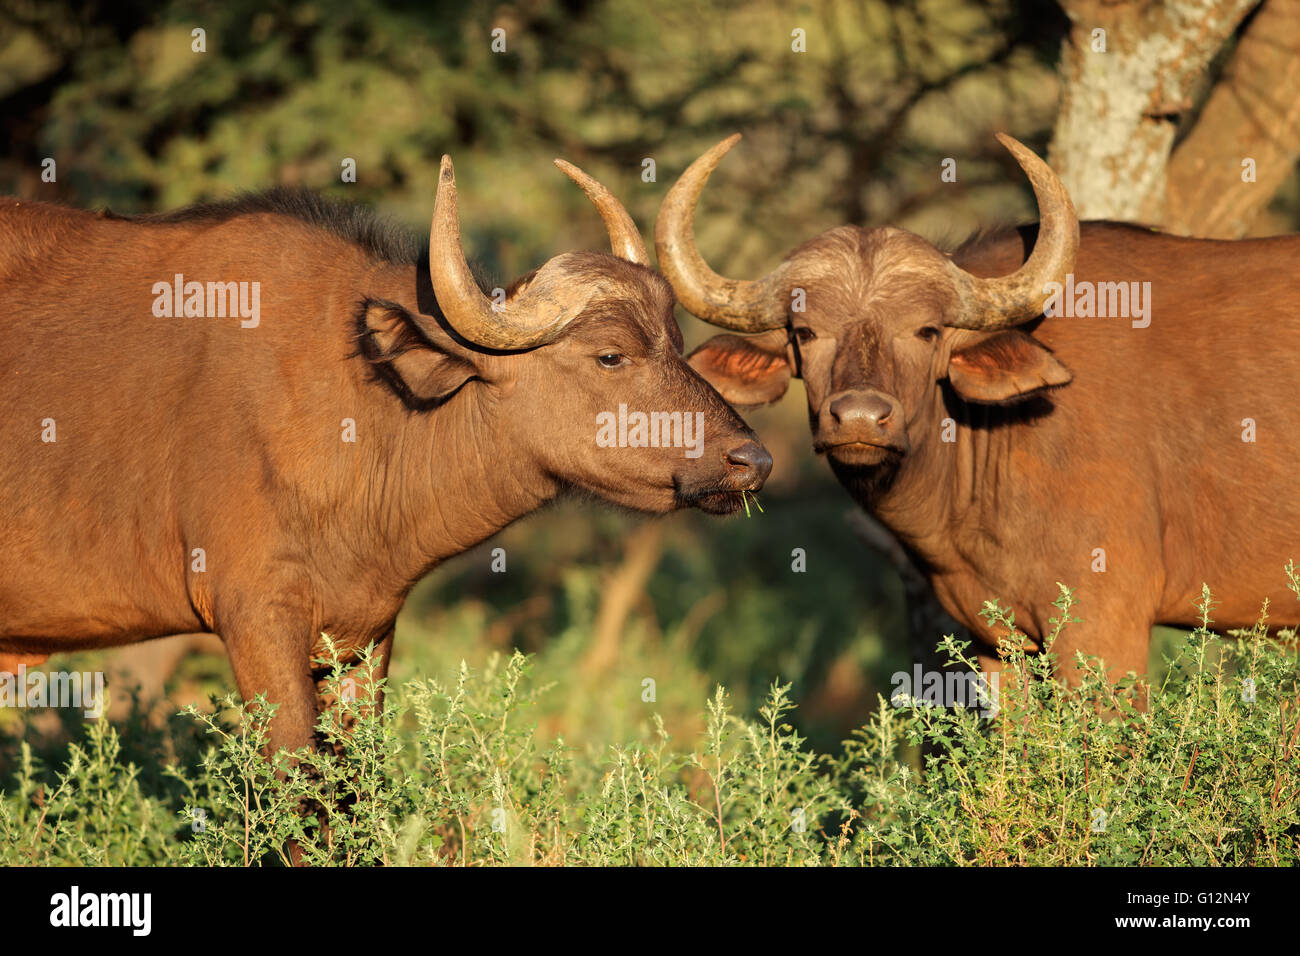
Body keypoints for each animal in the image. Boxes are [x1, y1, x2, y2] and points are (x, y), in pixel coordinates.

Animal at [0, 157, 769, 754]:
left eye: (678, 343)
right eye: (611, 355)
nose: (752, 462)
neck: (362, 403)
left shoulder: (363, 637)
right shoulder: (256, 621)